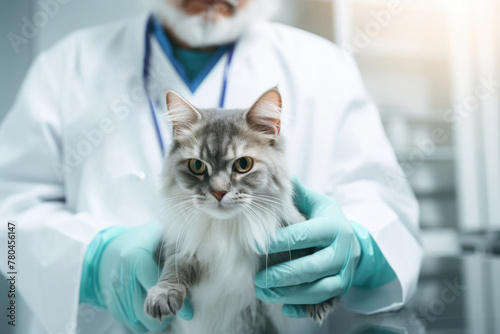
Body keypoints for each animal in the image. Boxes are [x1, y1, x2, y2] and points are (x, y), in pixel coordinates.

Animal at [143, 87, 334, 332]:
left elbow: (308, 258)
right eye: (197, 166)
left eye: (243, 165)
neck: (227, 228)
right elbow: (174, 267)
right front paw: (163, 294)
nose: (218, 192)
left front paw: (318, 297)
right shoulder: (181, 245)